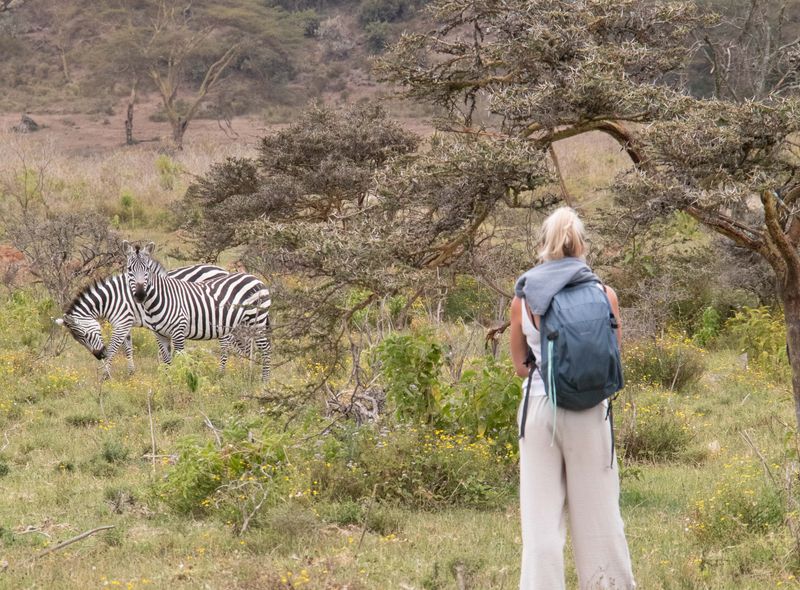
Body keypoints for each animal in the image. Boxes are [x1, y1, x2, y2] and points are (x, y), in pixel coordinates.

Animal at [55, 263, 230, 379]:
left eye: (84, 336)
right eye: (78, 340)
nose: (99, 355)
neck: (113, 299)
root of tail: (223, 270)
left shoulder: (122, 320)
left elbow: (114, 348)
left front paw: (105, 375)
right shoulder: (125, 322)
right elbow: (128, 347)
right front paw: (131, 372)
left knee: (225, 343)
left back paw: (222, 373)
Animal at [124, 241, 272, 381]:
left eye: (147, 269)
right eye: (129, 269)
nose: (140, 295)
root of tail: (255, 278)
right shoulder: (158, 332)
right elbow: (165, 358)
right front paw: (167, 381)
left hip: (254, 321)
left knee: (262, 349)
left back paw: (259, 380)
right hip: (239, 323)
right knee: (245, 347)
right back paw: (245, 373)